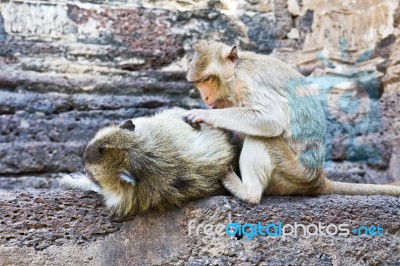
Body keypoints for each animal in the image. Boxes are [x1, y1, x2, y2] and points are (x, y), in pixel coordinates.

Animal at [185, 39, 400, 203]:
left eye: (208, 79)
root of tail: (317, 178)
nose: (205, 97)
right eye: (198, 83)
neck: (235, 73)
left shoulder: (247, 82)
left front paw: (203, 115)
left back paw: (248, 193)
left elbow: (271, 120)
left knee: (262, 138)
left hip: (293, 173)